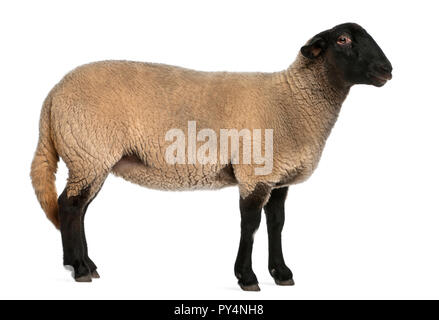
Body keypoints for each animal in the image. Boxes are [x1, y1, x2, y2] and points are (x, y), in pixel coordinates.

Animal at [31, 23, 396, 290]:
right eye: (343, 39)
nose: (387, 69)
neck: (293, 100)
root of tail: (51, 98)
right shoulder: (254, 173)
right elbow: (250, 224)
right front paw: (247, 277)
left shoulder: (278, 178)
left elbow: (276, 224)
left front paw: (281, 273)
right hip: (88, 154)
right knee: (69, 207)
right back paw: (78, 268)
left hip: (90, 159)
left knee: (79, 210)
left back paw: (87, 265)